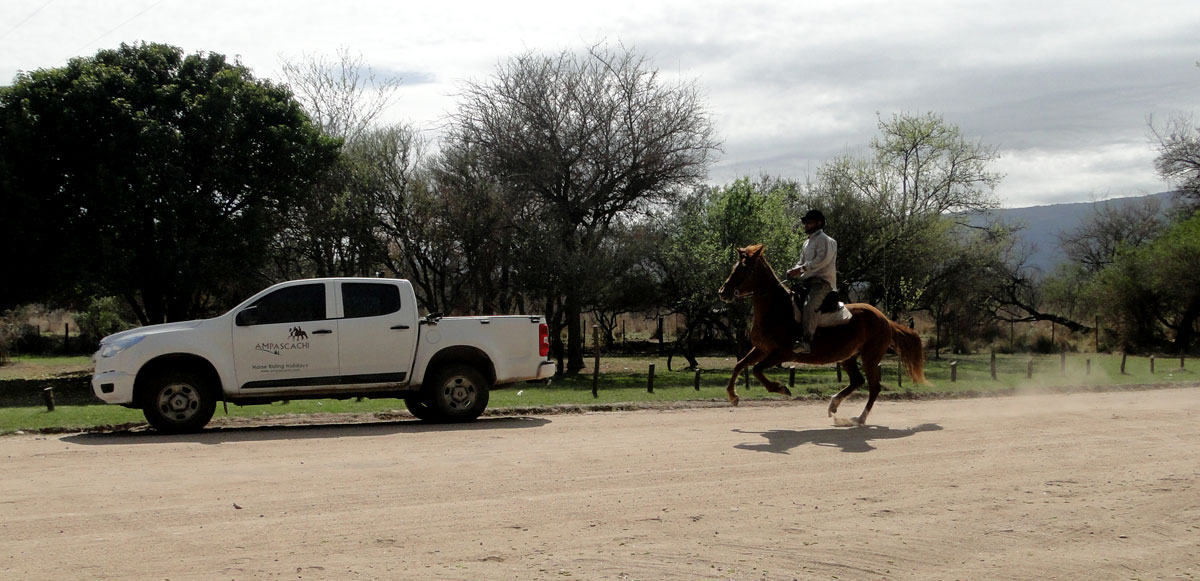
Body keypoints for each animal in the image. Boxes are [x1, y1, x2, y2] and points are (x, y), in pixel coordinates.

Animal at [710, 242, 926, 424]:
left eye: (744, 268)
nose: (723, 291)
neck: (777, 309)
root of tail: (884, 319)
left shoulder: (781, 353)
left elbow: (756, 369)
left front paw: (781, 389)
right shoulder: (761, 349)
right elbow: (739, 365)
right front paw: (733, 396)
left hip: (870, 357)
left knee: (874, 387)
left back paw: (859, 418)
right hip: (848, 357)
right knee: (858, 380)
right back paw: (834, 405)